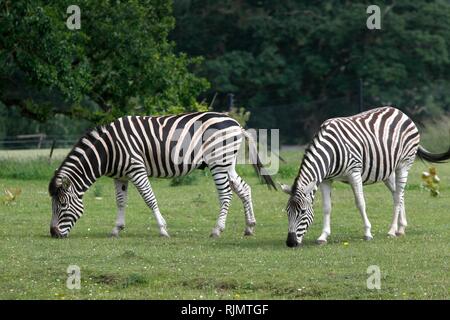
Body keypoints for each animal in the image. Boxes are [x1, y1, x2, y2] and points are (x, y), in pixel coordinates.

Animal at [48, 111, 274, 239]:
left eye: (63, 204)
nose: (53, 234)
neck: (108, 150)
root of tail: (236, 123)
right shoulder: (120, 176)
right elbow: (120, 202)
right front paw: (116, 229)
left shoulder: (136, 168)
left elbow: (149, 198)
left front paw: (163, 230)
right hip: (228, 162)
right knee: (244, 188)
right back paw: (249, 227)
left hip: (218, 162)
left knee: (226, 194)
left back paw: (217, 230)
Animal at [282, 107, 450, 248]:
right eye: (287, 212)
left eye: (303, 212)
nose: (290, 243)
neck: (329, 152)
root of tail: (401, 113)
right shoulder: (325, 179)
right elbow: (326, 207)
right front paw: (323, 236)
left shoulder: (354, 172)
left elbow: (360, 203)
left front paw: (368, 233)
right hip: (388, 171)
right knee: (399, 194)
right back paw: (401, 228)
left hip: (404, 164)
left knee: (397, 197)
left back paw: (392, 230)